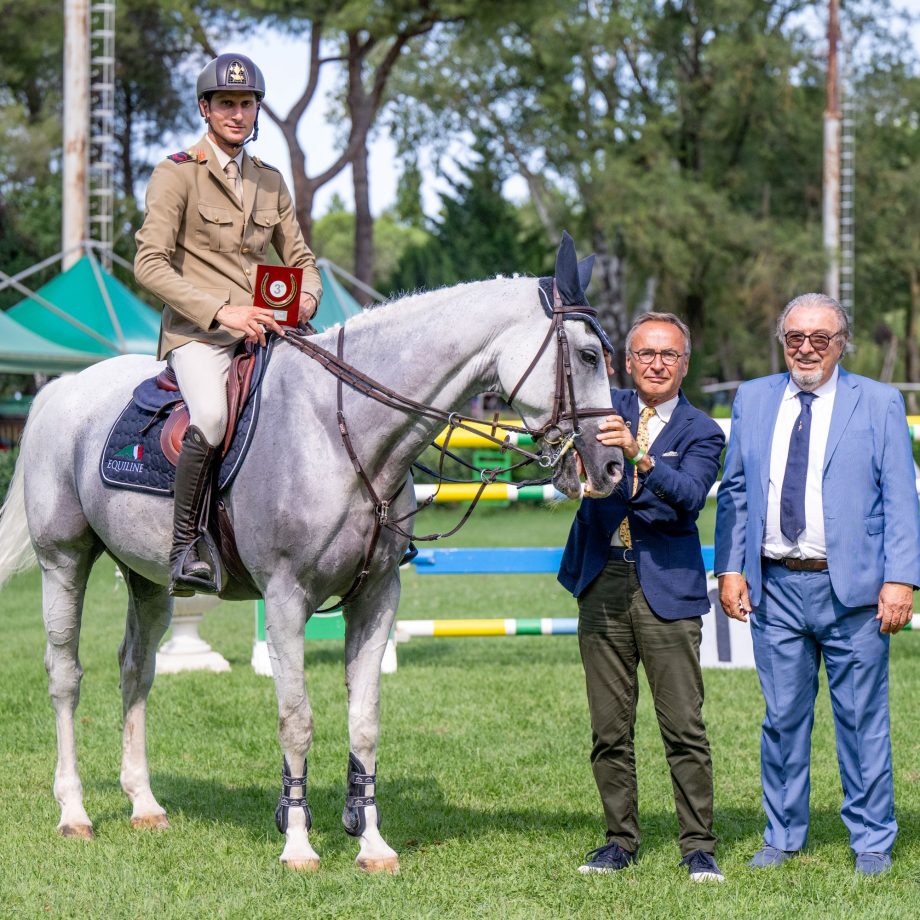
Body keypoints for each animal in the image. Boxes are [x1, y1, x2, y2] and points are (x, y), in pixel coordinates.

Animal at [0, 252, 624, 868]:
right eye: (589, 355)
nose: (613, 467)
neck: (339, 427)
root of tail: (65, 387)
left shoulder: (376, 596)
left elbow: (365, 720)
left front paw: (371, 842)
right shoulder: (285, 598)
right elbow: (296, 721)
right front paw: (297, 842)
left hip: (149, 578)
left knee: (136, 669)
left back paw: (144, 804)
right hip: (64, 560)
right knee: (65, 675)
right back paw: (74, 812)